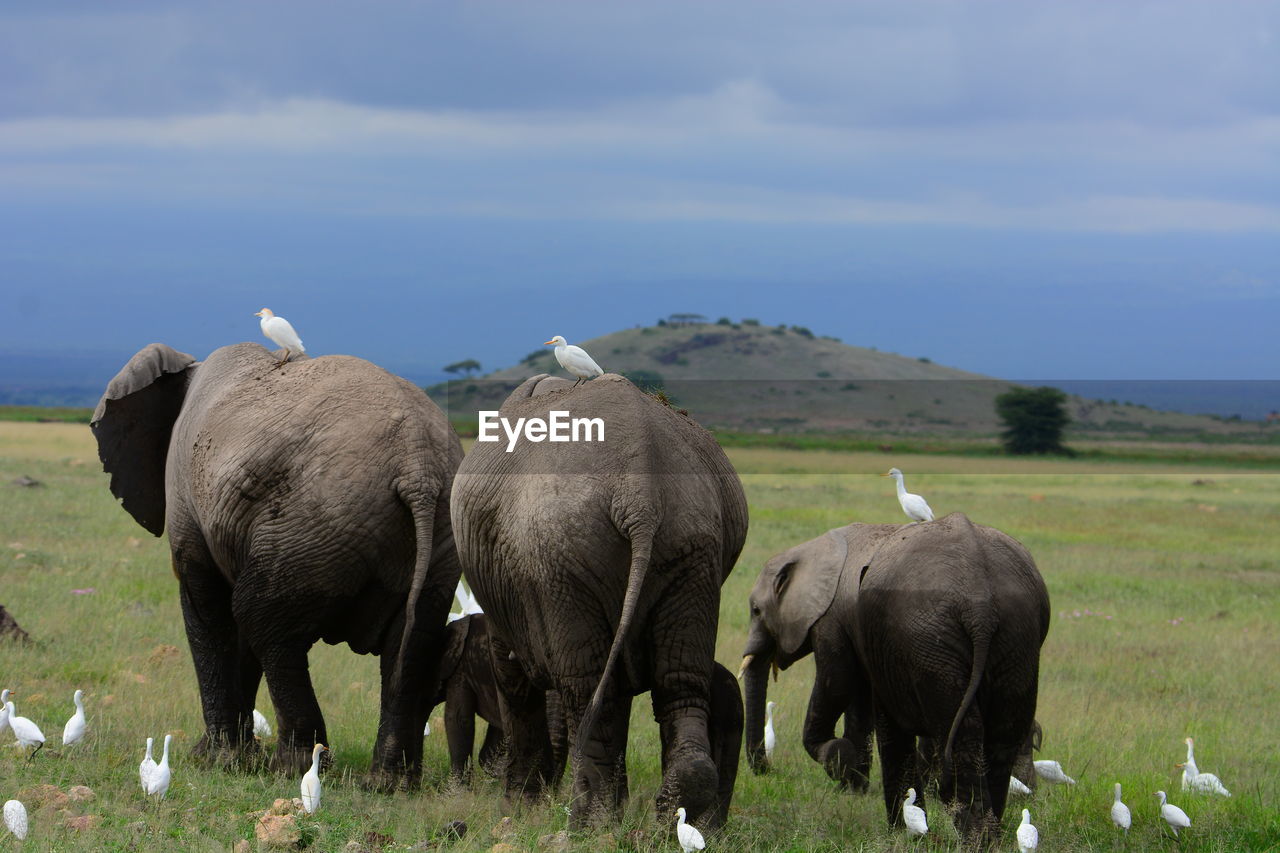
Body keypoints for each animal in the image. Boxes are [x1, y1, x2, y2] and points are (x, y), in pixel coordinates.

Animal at [93, 338, 465, 783]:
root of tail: (417, 464)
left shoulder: (186, 494)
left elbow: (208, 608)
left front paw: (215, 761)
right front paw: (228, 757)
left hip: (312, 524)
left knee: (260, 617)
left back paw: (293, 766)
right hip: (437, 529)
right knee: (413, 639)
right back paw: (388, 783)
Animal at [453, 371, 747, 824]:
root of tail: (640, 495)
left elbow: (513, 676)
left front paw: (519, 807)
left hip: (560, 553)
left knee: (587, 686)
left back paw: (587, 821)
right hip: (692, 544)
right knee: (678, 681)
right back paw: (674, 805)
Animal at [742, 512, 1049, 845]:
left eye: (756, 610)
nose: (765, 769)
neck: (809, 550)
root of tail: (980, 605)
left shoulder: (830, 620)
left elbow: (838, 685)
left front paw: (841, 762)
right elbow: (858, 700)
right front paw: (852, 786)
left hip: (931, 644)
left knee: (961, 730)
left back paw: (974, 839)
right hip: (1017, 636)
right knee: (1004, 731)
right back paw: (990, 835)